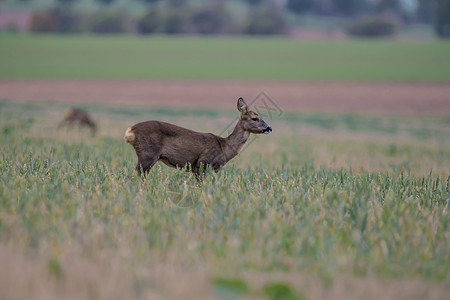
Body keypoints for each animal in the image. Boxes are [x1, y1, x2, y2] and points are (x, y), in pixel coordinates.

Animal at [123, 97, 272, 179]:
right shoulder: (202, 163)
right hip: (148, 154)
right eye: (255, 118)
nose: (269, 128)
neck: (224, 147)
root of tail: (130, 131)